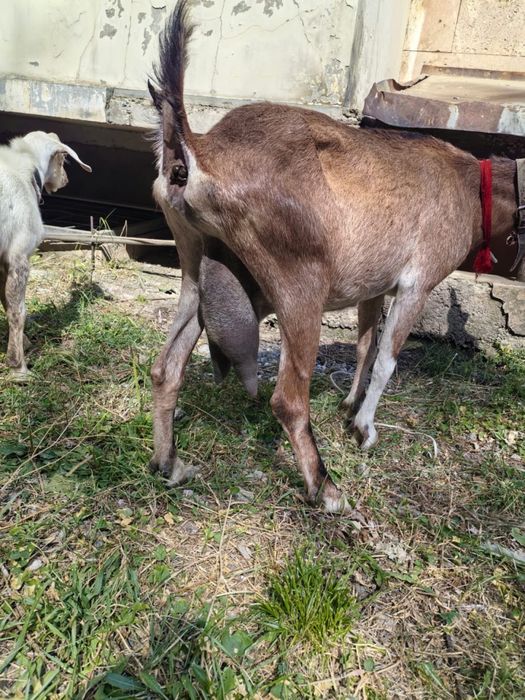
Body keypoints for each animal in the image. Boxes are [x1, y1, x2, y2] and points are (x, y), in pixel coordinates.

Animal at [0, 131, 91, 379]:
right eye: (63, 159)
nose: (66, 179)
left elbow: (5, 302)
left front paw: (24, 343)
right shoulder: (19, 256)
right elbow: (17, 310)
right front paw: (18, 367)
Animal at [148, 0, 521, 512]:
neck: (472, 187)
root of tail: (197, 149)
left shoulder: (374, 286)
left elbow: (365, 345)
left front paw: (348, 407)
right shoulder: (417, 283)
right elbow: (386, 358)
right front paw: (364, 429)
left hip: (192, 266)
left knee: (166, 368)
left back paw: (169, 464)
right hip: (299, 284)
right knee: (287, 399)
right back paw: (325, 489)